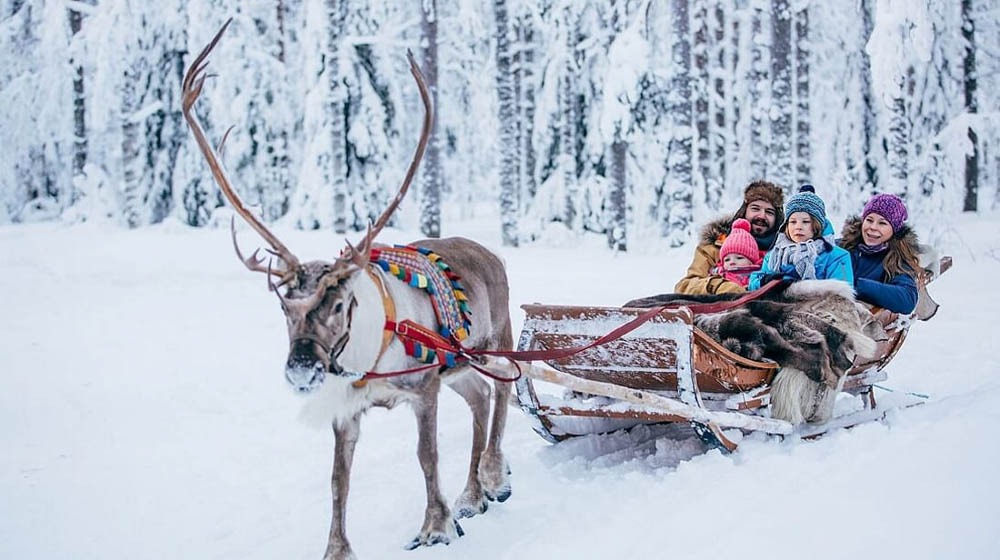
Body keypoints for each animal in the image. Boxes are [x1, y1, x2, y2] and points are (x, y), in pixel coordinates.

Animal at [182, 21, 514, 560]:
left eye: (337, 304)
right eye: (284, 308)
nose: (300, 370)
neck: (368, 356)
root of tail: (490, 252)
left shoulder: (424, 386)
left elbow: (426, 456)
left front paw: (436, 526)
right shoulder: (346, 408)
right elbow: (338, 480)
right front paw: (337, 549)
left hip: (492, 341)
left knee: (504, 386)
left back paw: (491, 477)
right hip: (459, 366)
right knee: (481, 396)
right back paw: (471, 495)